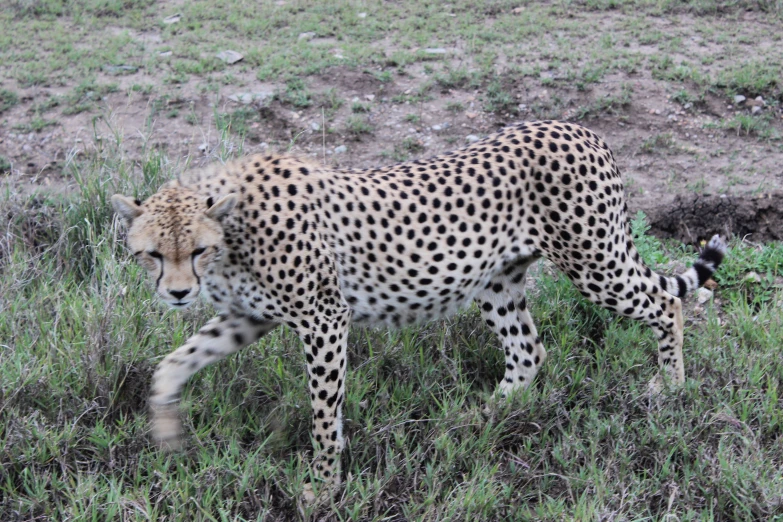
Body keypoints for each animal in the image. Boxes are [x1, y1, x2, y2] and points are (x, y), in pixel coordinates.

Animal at [112, 119, 728, 500]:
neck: (234, 227)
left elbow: (322, 412)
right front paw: (167, 433)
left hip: (595, 263)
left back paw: (671, 387)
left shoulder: (323, 316)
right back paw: (475, 419)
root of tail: (578, 128)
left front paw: (322, 486)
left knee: (665, 302)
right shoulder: (251, 316)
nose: (177, 293)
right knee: (529, 350)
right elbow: (173, 363)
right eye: (152, 253)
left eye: (196, 249)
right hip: (498, 280)